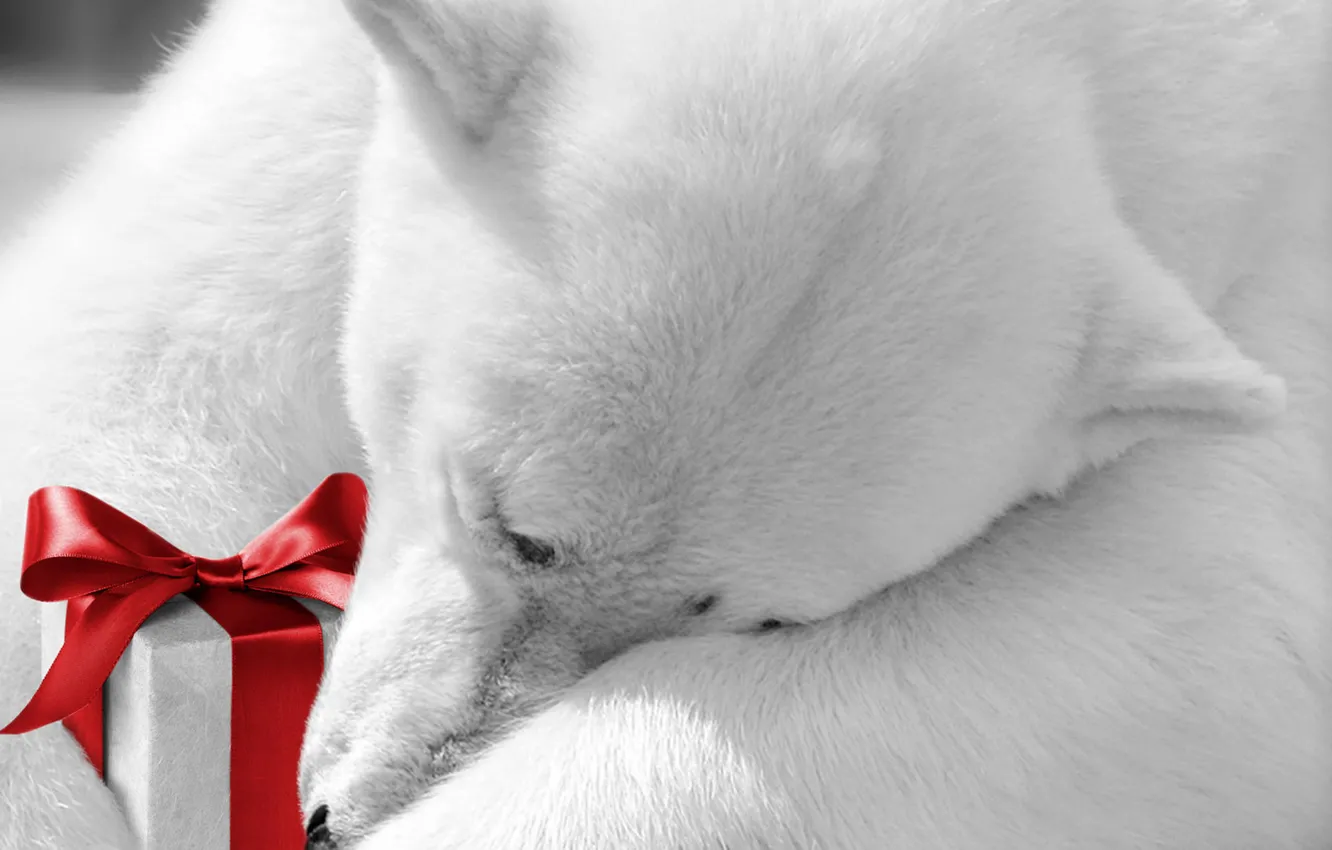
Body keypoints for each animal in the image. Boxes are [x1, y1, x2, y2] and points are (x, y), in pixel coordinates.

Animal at [1, 0, 1329, 848]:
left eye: (764, 618)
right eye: (504, 520)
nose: (336, 819)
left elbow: (1189, 625)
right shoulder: (304, 82)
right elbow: (137, 355)